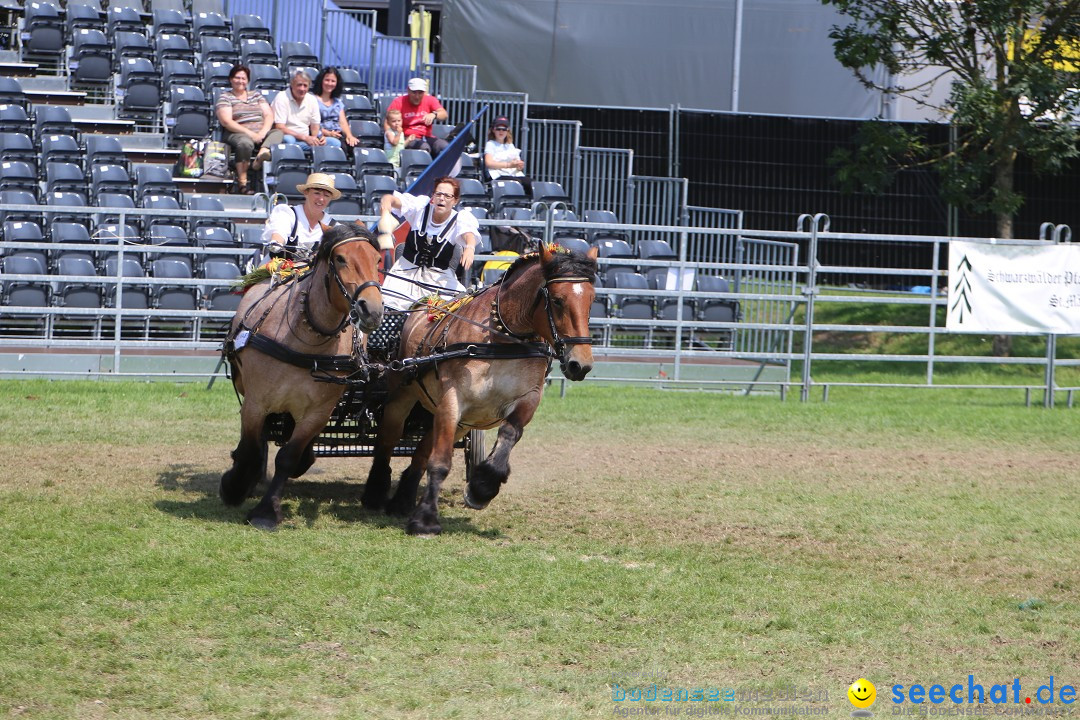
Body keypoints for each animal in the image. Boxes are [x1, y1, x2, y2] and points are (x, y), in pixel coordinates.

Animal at [221, 221, 386, 528]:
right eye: (340, 259)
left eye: (377, 260)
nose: (372, 309)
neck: (308, 336)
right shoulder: (256, 403)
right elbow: (250, 449)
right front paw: (234, 486)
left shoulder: (317, 413)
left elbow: (288, 457)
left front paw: (266, 511)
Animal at [360, 245, 600, 533]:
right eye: (557, 300)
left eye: (591, 300)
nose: (580, 364)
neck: (502, 339)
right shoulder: (453, 399)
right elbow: (440, 462)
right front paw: (425, 520)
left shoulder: (528, 398)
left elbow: (509, 432)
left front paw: (483, 486)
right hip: (403, 398)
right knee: (387, 440)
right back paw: (375, 492)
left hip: (462, 422)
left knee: (421, 452)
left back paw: (403, 500)